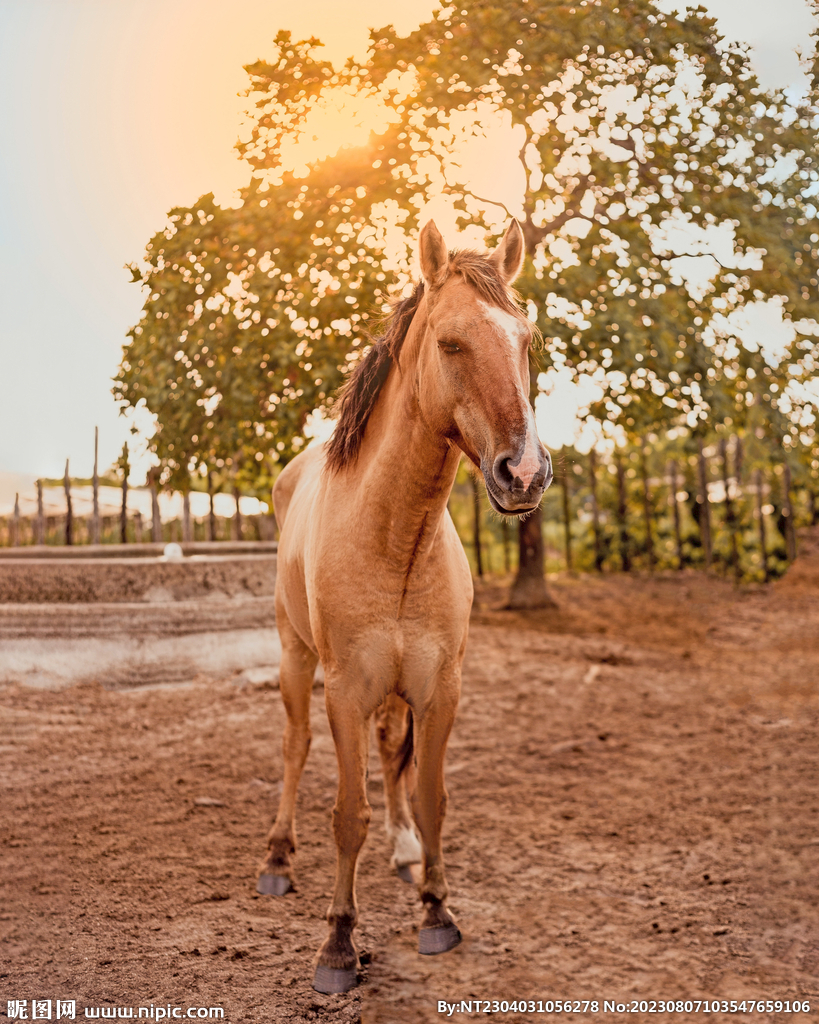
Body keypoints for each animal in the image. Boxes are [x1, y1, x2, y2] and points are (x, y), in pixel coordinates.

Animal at [258, 219, 552, 994]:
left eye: (526, 339)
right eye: (450, 342)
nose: (524, 473)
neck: (393, 534)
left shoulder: (438, 687)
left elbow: (429, 797)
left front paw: (435, 909)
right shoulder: (344, 690)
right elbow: (346, 814)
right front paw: (336, 944)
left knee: (391, 755)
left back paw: (401, 852)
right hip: (296, 660)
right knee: (295, 746)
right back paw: (276, 858)